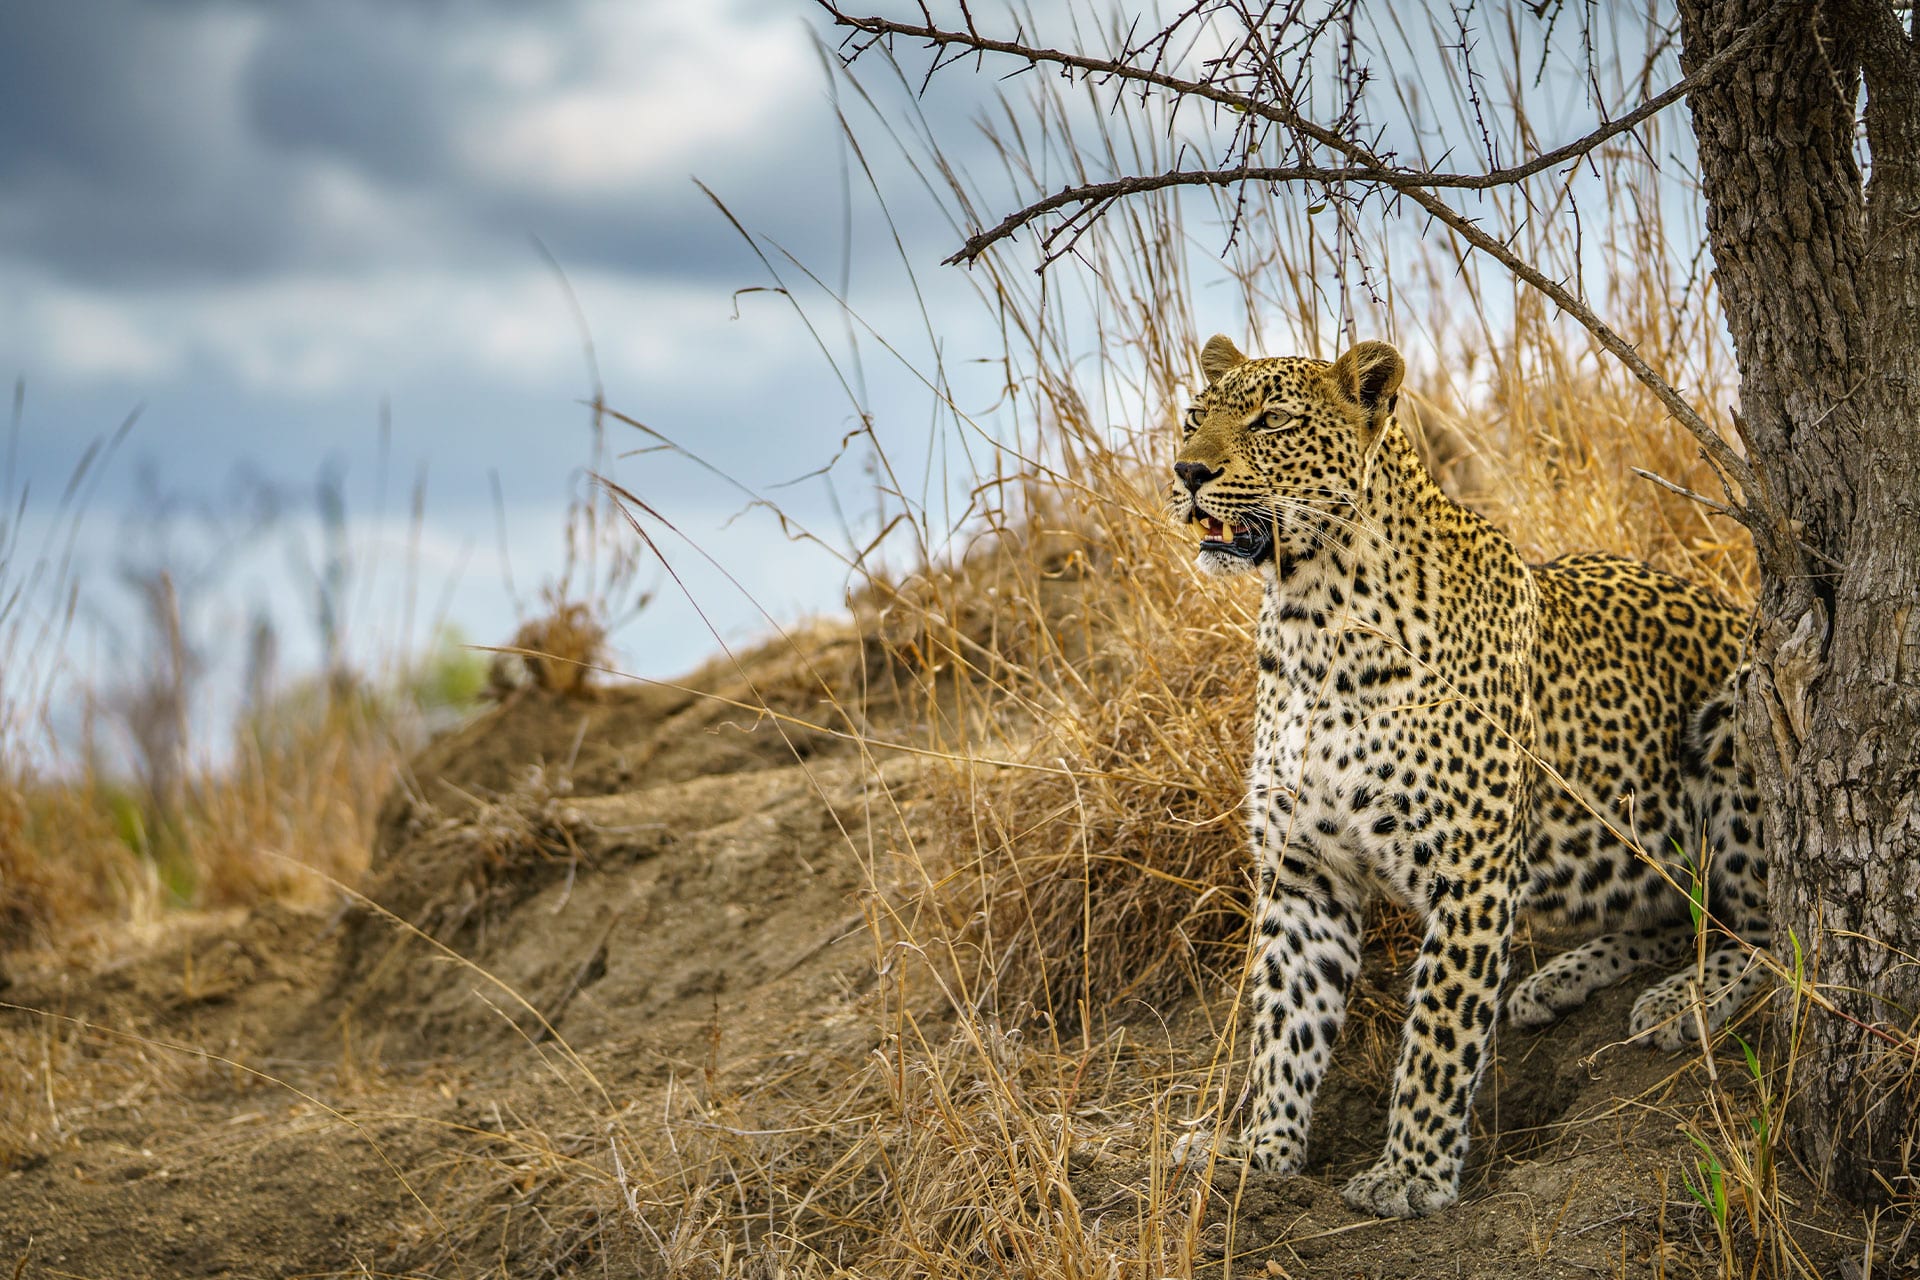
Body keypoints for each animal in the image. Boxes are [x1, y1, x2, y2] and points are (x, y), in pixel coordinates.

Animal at [1166, 334, 1768, 1218]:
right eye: (1193, 417)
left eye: (1272, 421)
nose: (1186, 471)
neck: (1310, 618)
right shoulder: (1304, 873)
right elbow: (1285, 1019)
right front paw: (1260, 1147)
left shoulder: (1472, 871)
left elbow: (1438, 1035)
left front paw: (1410, 1175)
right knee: (1671, 912)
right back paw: (1558, 980)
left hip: (1737, 727)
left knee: (1776, 929)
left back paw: (1680, 999)